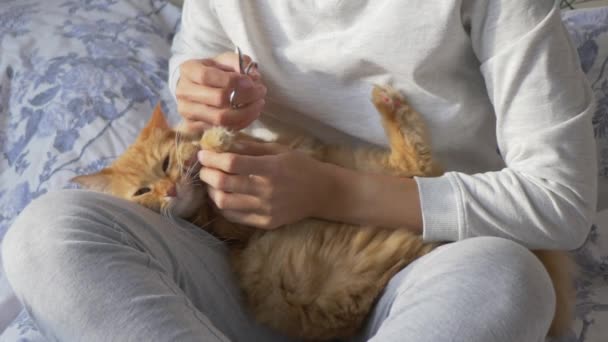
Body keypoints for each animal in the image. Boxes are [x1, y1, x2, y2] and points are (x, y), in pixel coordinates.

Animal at [72, 85, 576, 340]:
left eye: (162, 166)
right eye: (142, 192)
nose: (169, 190)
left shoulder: (292, 153)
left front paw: (213, 141)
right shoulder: (232, 229)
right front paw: (215, 141)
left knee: (419, 165)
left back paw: (387, 103)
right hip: (389, 184)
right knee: (416, 163)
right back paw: (388, 104)